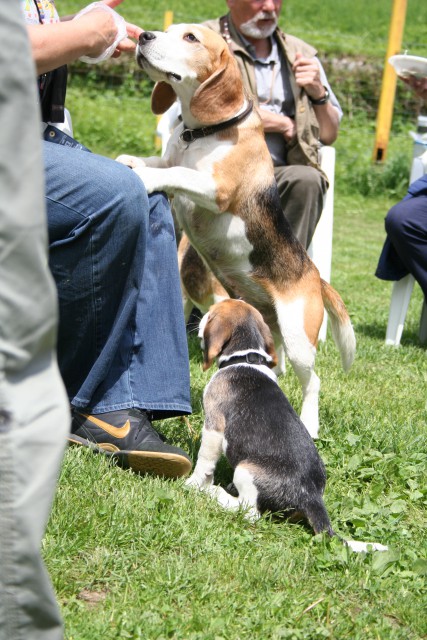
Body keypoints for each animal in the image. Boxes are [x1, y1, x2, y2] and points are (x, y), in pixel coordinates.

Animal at [117, 22, 358, 438]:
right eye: (169, 30)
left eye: (190, 38)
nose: (144, 36)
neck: (199, 133)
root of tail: (313, 274)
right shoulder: (171, 156)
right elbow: (157, 162)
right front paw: (127, 162)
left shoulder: (216, 188)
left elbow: (177, 173)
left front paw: (147, 179)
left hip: (298, 336)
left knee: (313, 381)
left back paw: (310, 424)